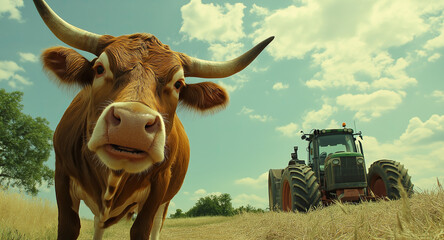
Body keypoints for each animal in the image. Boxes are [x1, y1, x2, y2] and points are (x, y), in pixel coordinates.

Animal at [33, 0, 270, 240]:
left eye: (178, 84)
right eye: (99, 69)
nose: (133, 124)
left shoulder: (159, 187)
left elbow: (142, 228)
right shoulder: (61, 173)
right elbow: (69, 225)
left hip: (164, 203)